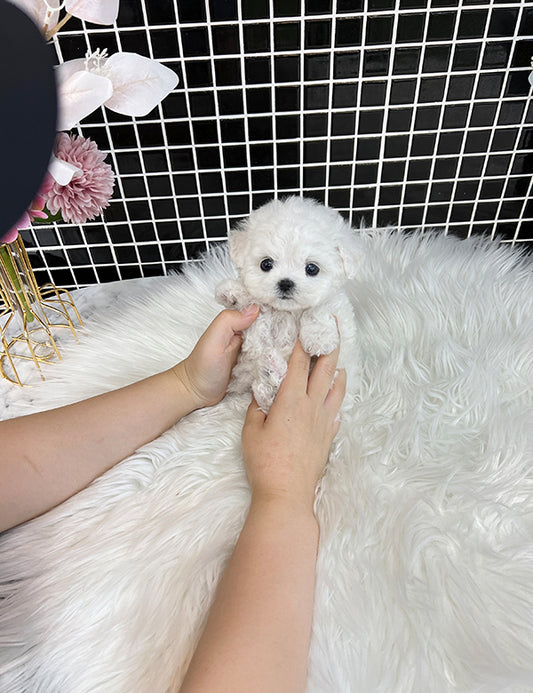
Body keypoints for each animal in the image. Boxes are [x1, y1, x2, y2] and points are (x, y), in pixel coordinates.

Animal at [215, 195, 362, 410]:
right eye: (266, 264)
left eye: (312, 268)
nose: (285, 283)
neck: (288, 312)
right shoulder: (256, 335)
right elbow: (258, 307)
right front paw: (233, 293)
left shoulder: (338, 316)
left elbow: (318, 309)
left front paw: (319, 338)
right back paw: (269, 377)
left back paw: (271, 373)